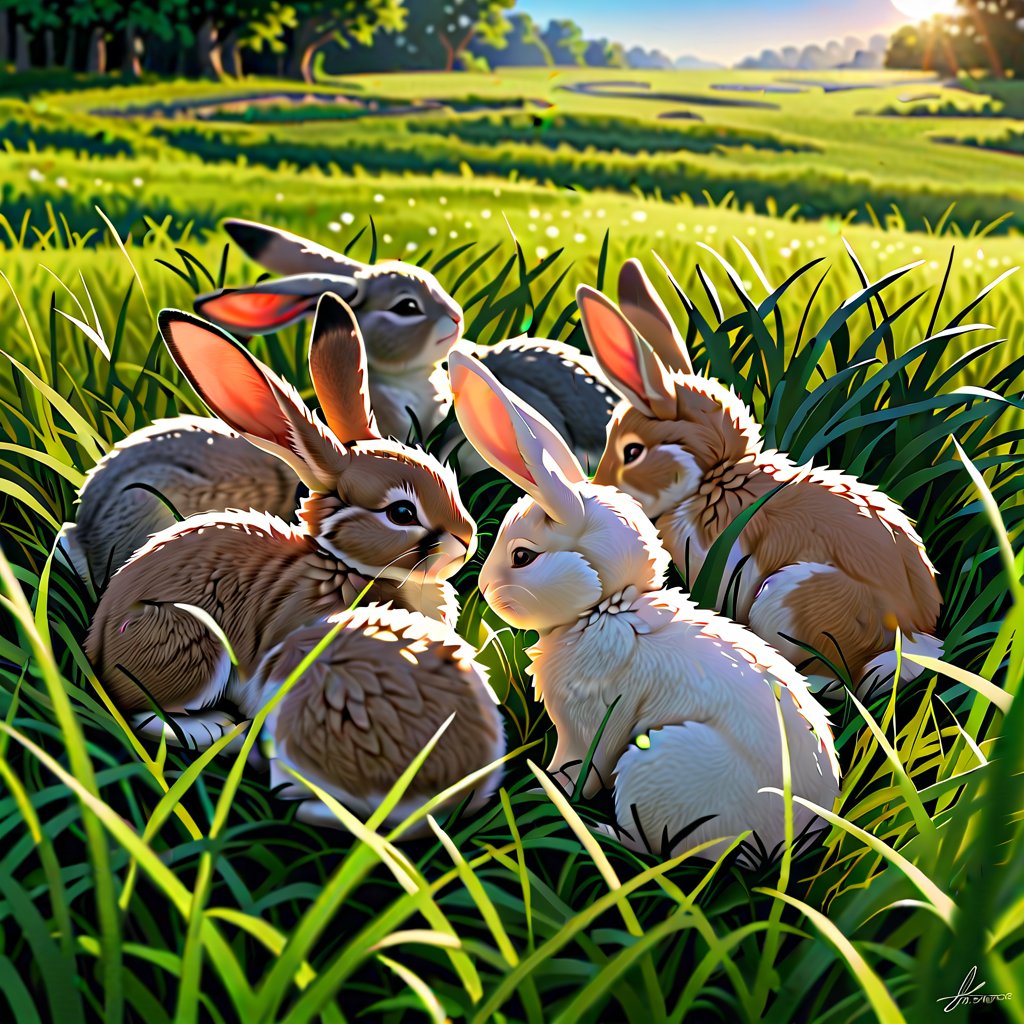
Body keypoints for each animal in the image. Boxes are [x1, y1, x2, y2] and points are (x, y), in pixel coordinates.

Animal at [86, 292, 473, 749]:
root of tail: (98, 648)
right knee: (144, 713)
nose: (467, 541)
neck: (348, 567)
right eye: (401, 513)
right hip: (190, 642)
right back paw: (215, 729)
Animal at [450, 346, 839, 864]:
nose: (487, 589)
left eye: (522, 557)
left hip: (653, 765)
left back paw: (596, 831)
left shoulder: (589, 725)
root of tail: (796, 838)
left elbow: (578, 769)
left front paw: (540, 791)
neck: (605, 606)